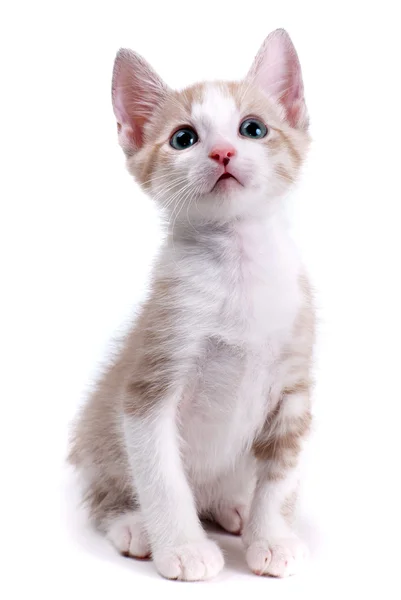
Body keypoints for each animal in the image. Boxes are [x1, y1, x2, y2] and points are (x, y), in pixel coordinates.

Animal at [69, 29, 314, 580]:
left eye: (253, 128)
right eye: (184, 138)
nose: (222, 152)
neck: (239, 271)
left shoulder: (294, 387)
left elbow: (281, 474)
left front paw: (272, 537)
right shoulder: (151, 381)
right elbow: (163, 478)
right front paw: (182, 548)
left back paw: (235, 506)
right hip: (96, 437)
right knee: (104, 491)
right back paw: (133, 525)